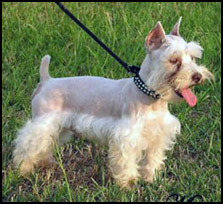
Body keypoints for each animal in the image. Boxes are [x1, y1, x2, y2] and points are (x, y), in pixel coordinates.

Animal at [13, 17, 213, 188]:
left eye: (192, 58)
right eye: (174, 60)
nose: (198, 76)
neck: (151, 99)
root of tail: (47, 80)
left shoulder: (158, 137)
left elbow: (152, 160)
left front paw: (151, 179)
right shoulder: (126, 139)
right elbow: (127, 163)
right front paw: (128, 185)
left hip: (55, 126)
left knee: (44, 145)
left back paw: (45, 163)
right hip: (41, 123)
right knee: (27, 146)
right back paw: (23, 170)